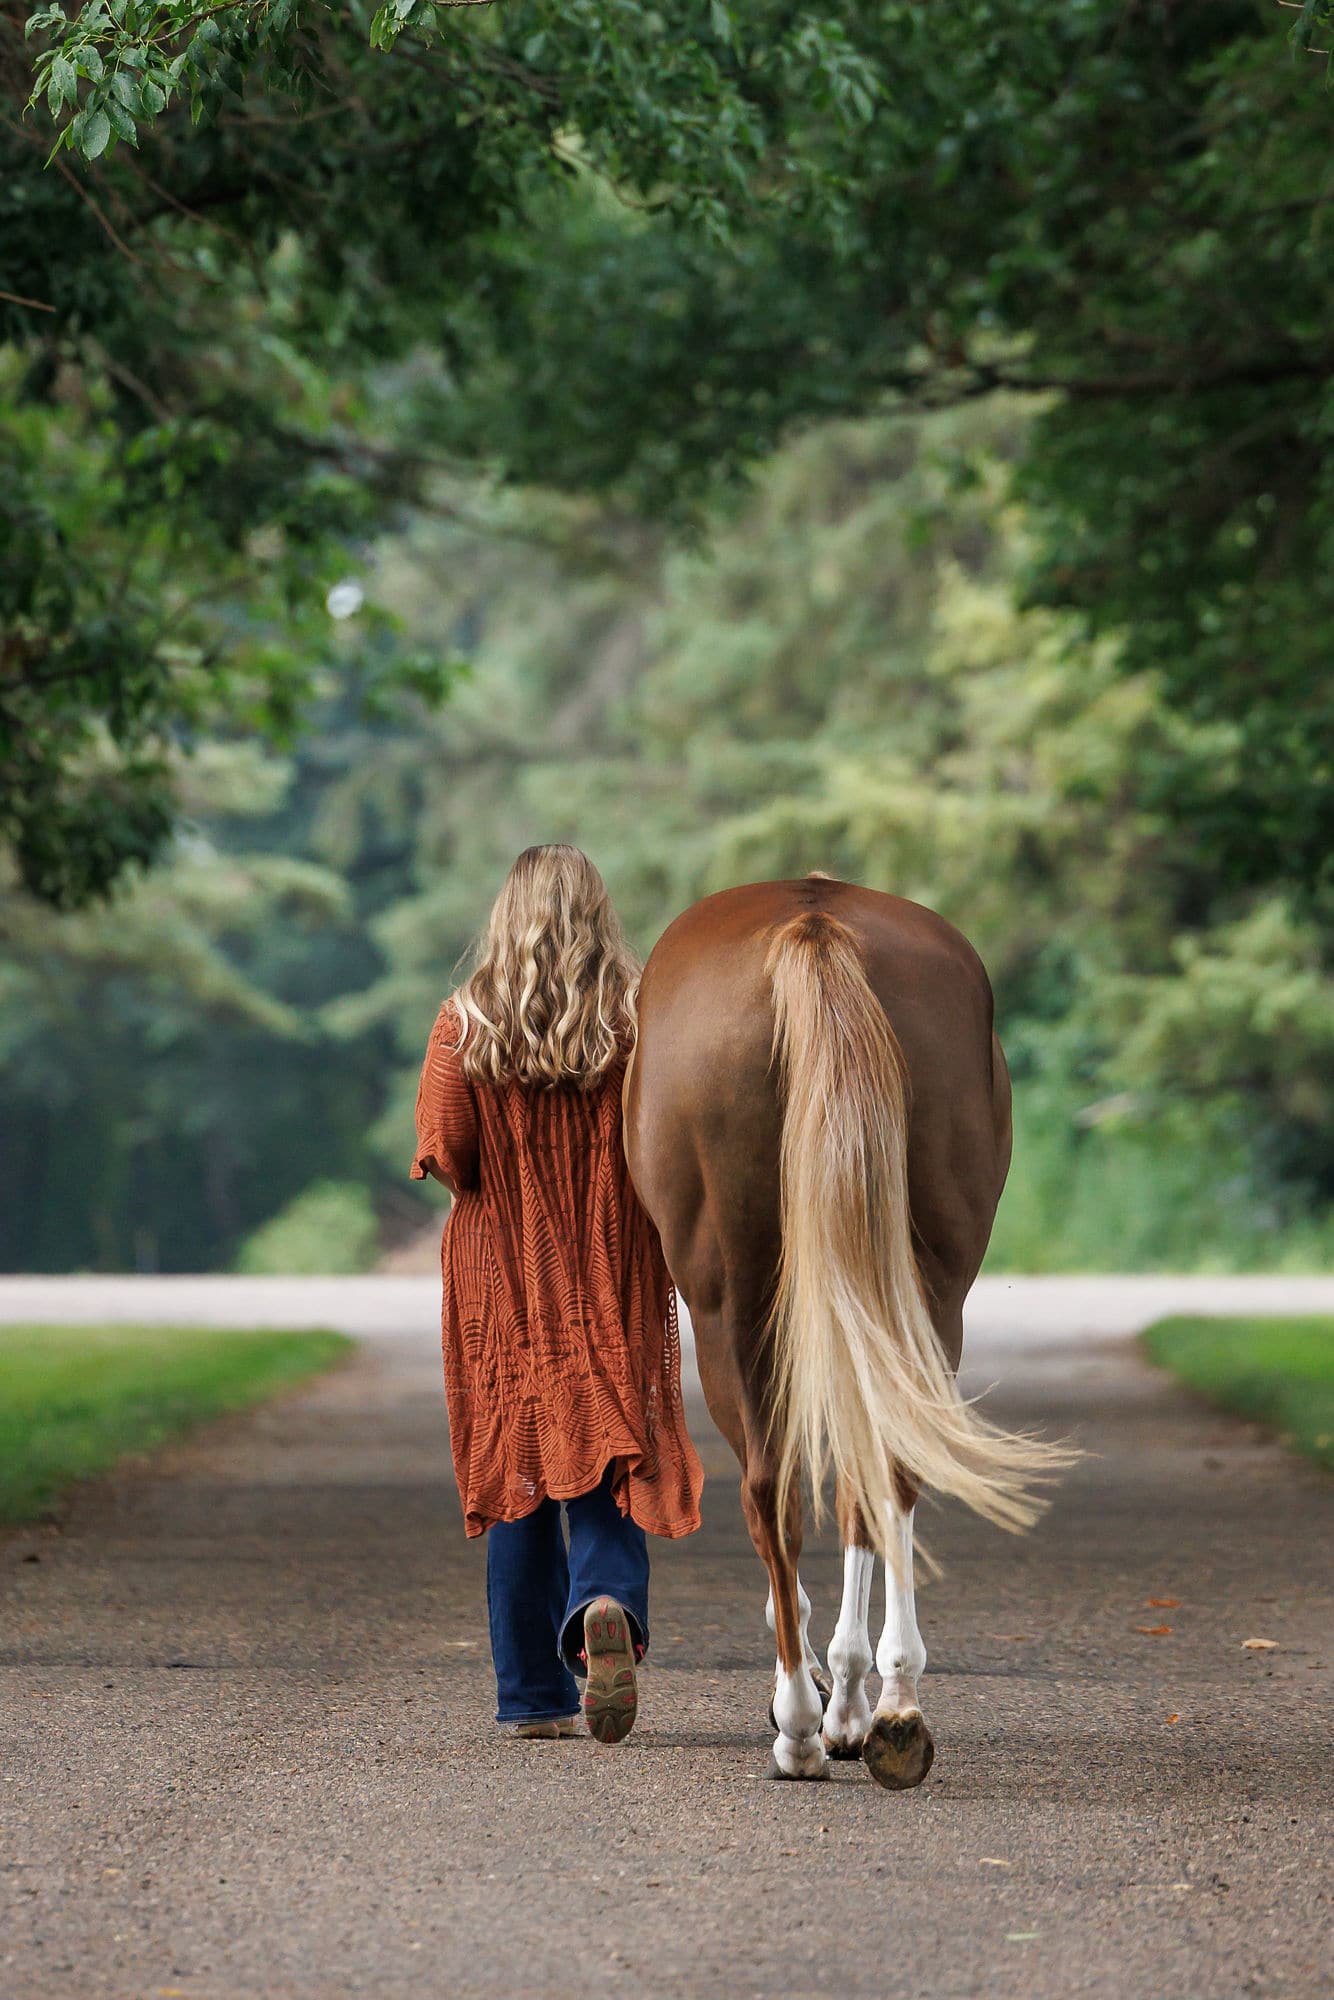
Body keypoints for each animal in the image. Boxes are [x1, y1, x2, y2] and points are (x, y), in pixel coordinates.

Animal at [620, 884, 1072, 1792]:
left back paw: (803, 1722)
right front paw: (852, 1699)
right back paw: (891, 1708)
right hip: (929, 1293)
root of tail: (812, 922)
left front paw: (814, 1695)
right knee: (886, 1471)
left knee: (771, 1490)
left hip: (729, 1304)